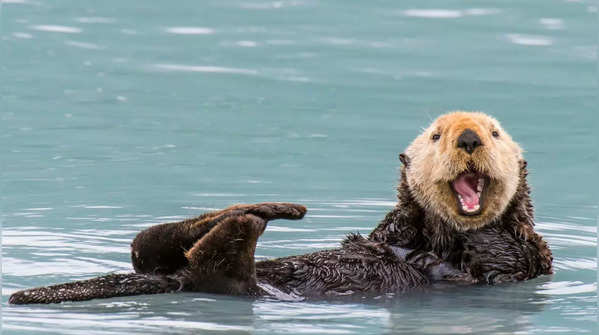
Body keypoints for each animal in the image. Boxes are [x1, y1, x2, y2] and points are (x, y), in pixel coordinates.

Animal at [8, 111, 552, 306]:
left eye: (495, 133)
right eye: (437, 135)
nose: (468, 138)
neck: (439, 234)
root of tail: (174, 279)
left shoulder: (525, 259)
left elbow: (496, 255)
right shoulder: (393, 230)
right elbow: (386, 235)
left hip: (237, 284)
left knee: (209, 266)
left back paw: (250, 220)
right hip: (171, 261)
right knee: (148, 245)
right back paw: (266, 209)